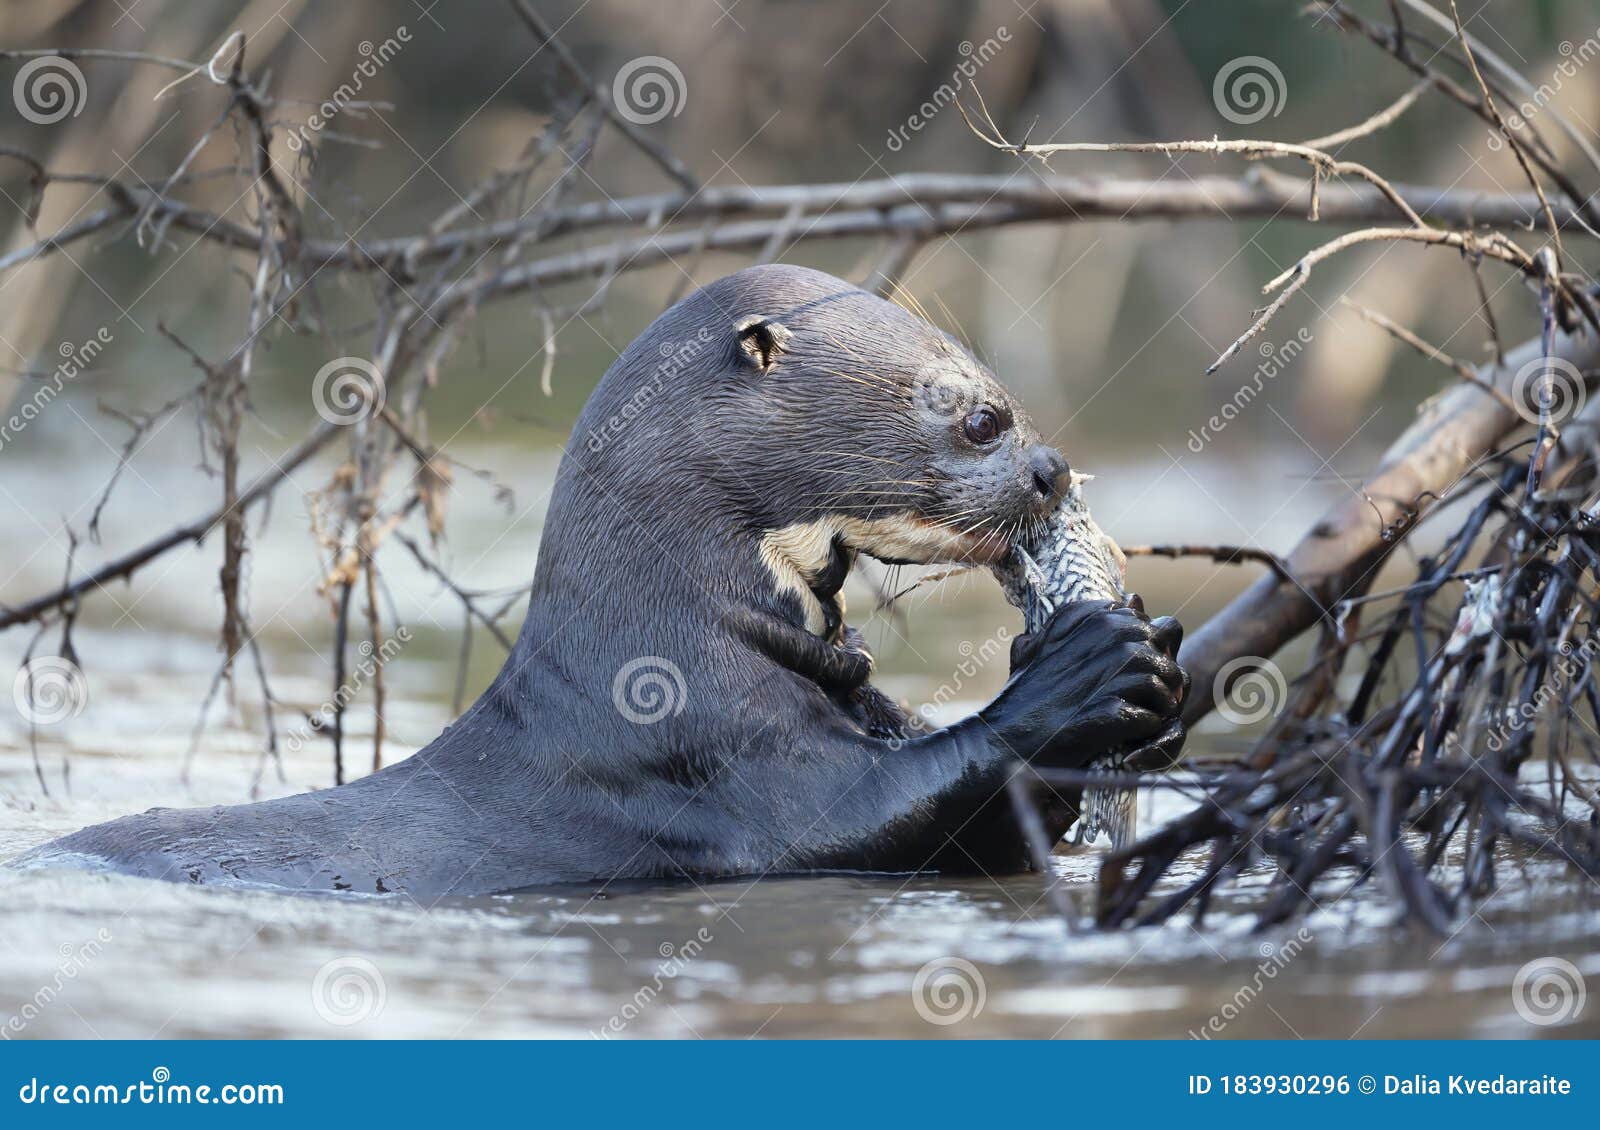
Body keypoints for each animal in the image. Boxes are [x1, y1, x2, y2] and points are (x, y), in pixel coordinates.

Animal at [28, 262, 1190, 889]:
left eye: (1007, 397)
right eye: (980, 415)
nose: (1051, 469)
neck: (666, 650)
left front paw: (1161, 670)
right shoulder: (714, 758)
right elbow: (890, 806)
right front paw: (1084, 671)